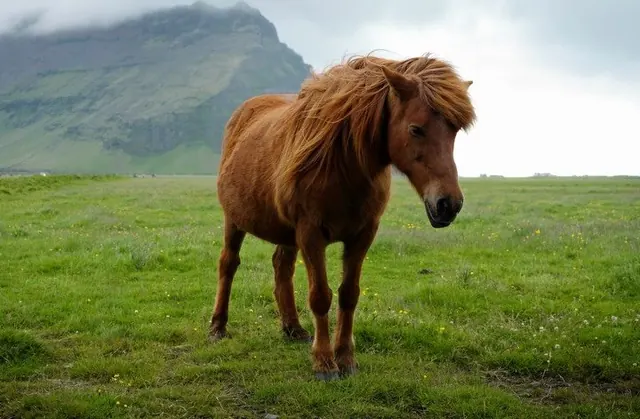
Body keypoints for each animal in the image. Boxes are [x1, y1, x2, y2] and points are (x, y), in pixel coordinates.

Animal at [209, 53, 476, 380]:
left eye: (454, 131)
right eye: (416, 129)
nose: (449, 204)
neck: (345, 165)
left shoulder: (362, 235)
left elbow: (349, 294)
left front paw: (346, 358)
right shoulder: (310, 234)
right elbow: (320, 296)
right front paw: (324, 362)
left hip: (287, 234)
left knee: (282, 267)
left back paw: (292, 327)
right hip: (234, 221)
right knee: (228, 264)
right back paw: (218, 326)